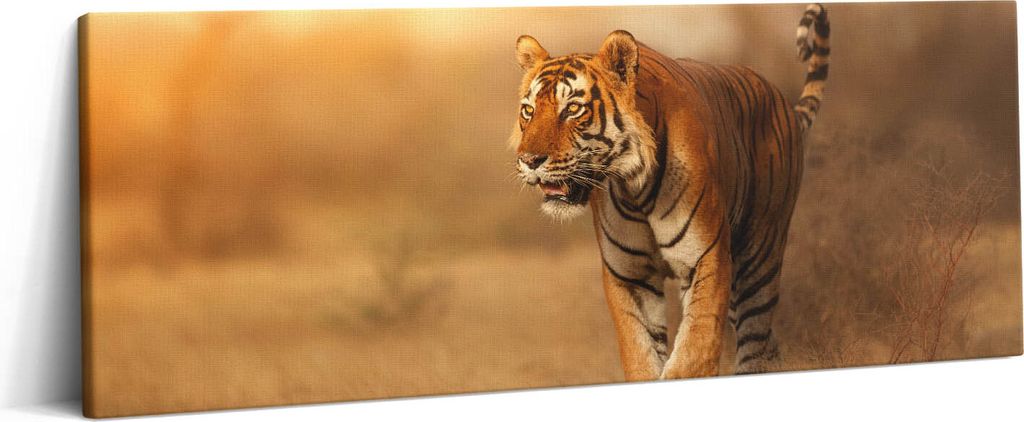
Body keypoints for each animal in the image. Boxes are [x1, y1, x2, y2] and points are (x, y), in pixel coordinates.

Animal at [508, 4, 830, 378]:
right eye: (528, 111)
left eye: (573, 109)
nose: (529, 160)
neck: (634, 187)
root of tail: (783, 102)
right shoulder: (630, 277)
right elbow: (641, 357)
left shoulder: (707, 259)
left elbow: (693, 354)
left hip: (758, 259)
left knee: (756, 345)